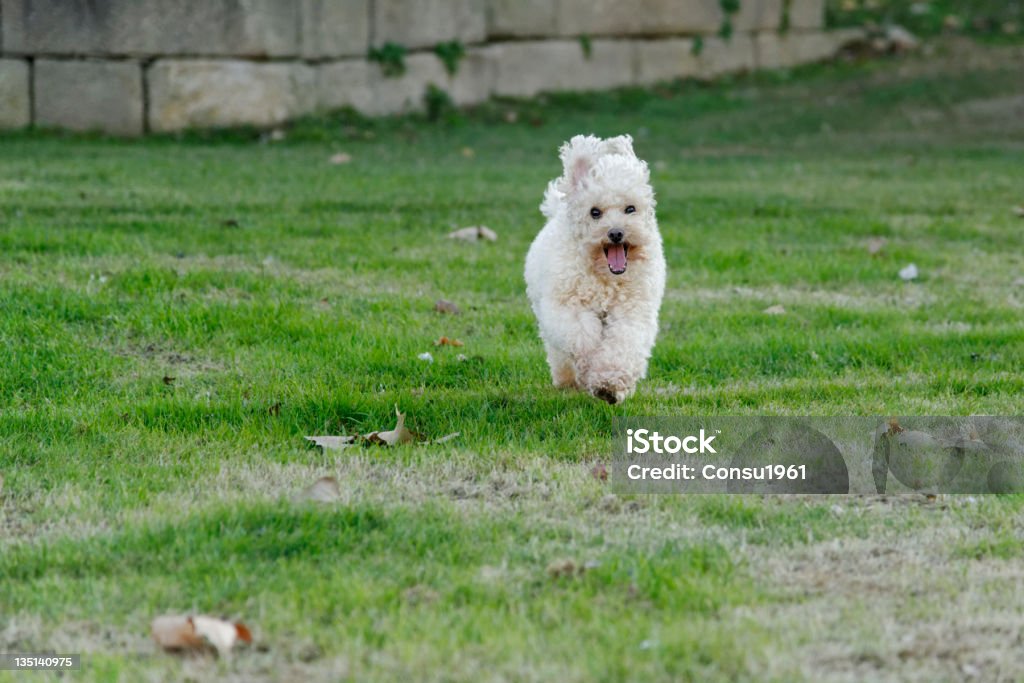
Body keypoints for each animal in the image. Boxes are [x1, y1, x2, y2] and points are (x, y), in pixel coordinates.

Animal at [528, 132, 663, 405]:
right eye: (595, 212)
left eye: (630, 208)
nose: (616, 233)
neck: (606, 278)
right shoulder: (567, 306)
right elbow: (583, 337)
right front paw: (590, 367)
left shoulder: (633, 310)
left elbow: (623, 343)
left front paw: (610, 384)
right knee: (558, 351)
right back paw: (568, 380)